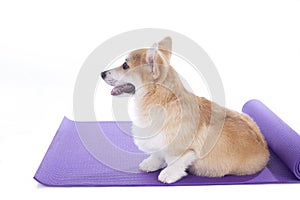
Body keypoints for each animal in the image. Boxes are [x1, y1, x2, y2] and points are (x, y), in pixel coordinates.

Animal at [101, 36, 270, 184]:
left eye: (125, 66)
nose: (102, 73)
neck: (159, 101)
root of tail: (266, 151)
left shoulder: (187, 150)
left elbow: (179, 160)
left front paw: (168, 174)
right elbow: (157, 154)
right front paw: (150, 163)